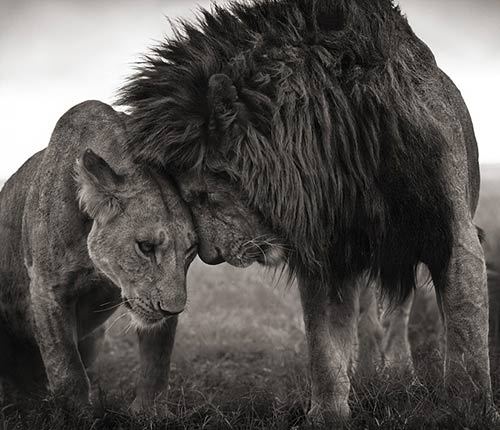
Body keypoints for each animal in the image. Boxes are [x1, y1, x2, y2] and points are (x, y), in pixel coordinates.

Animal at [0, 99, 197, 412]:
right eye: (145, 247)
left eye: (190, 250)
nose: (173, 309)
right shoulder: (47, 289)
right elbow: (66, 369)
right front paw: (77, 414)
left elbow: (157, 361)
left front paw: (149, 412)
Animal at [119, 0, 494, 424]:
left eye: (200, 195)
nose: (211, 257)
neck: (344, 151)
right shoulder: (325, 252)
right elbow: (324, 345)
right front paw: (328, 413)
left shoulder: (452, 235)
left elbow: (465, 335)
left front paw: (469, 411)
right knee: (368, 317)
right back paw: (368, 373)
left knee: (398, 313)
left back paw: (399, 373)